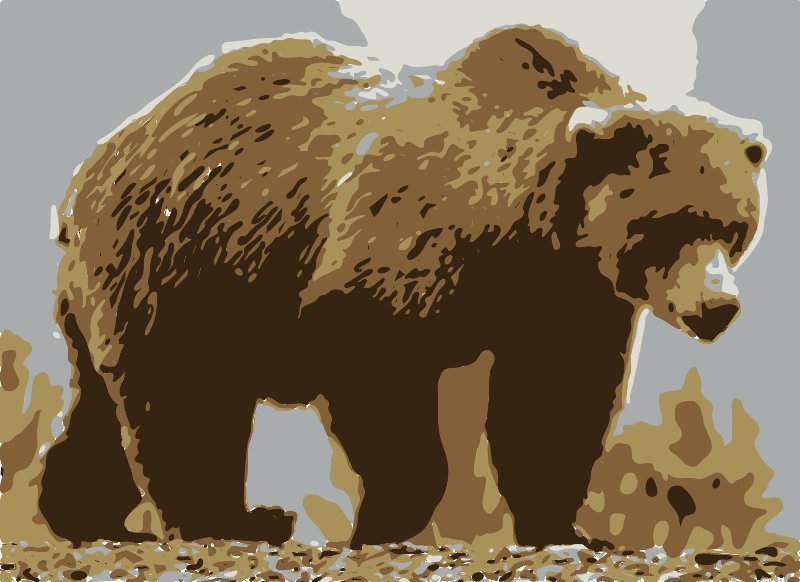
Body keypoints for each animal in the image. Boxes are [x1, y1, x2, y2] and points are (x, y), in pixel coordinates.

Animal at [39, 24, 766, 549]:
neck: (521, 227)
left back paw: (85, 513)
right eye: (670, 225)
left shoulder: (566, 299)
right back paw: (233, 519)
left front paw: (569, 528)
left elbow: (553, 402)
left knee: (99, 402)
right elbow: (378, 374)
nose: (718, 307)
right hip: (183, 251)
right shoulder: (397, 255)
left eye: (735, 228)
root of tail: (85, 172)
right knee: (182, 393)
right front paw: (386, 518)